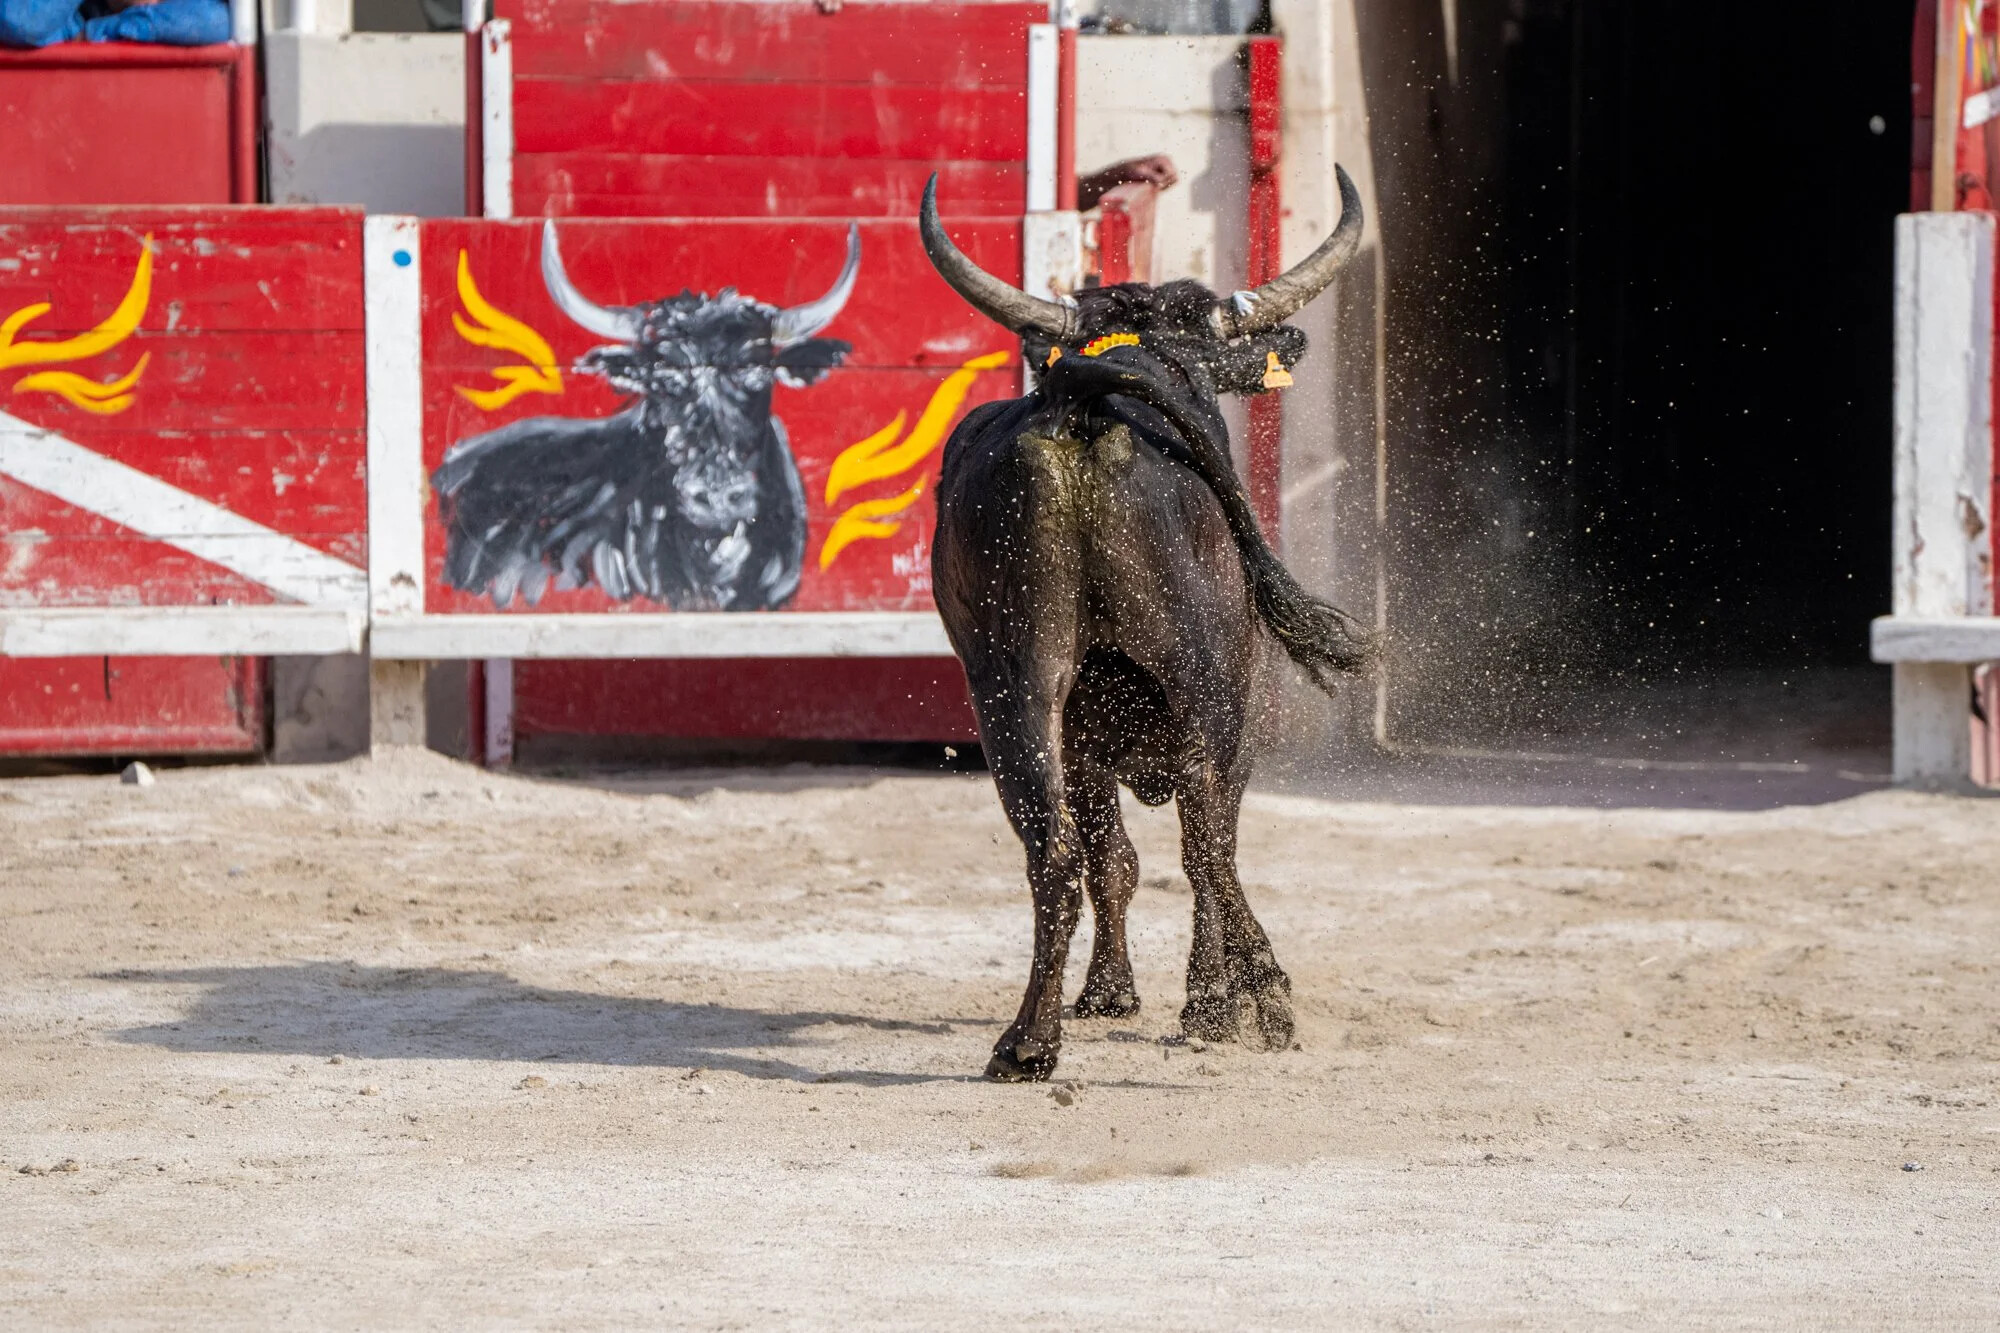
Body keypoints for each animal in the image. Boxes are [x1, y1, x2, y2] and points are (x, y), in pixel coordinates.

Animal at [919, 168, 1374, 1081]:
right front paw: (1202, 998)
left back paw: (1030, 1040)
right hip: (1204, 681)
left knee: (1059, 849)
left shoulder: (1089, 737)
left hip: (1016, 691)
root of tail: (1091, 402)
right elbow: (1188, 847)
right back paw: (1249, 997)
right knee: (1202, 837)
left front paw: (1113, 992)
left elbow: (1115, 856)